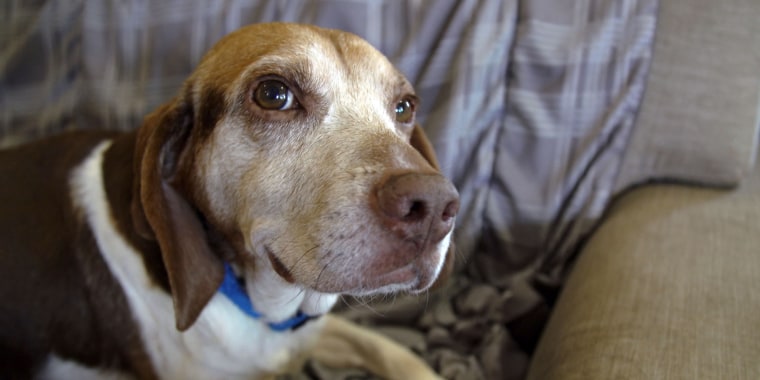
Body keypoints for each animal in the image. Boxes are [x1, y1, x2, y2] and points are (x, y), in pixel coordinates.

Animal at [0, 22, 458, 378]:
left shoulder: (311, 332)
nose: (435, 207)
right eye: (273, 94)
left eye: (404, 107)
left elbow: (391, 351)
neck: (264, 308)